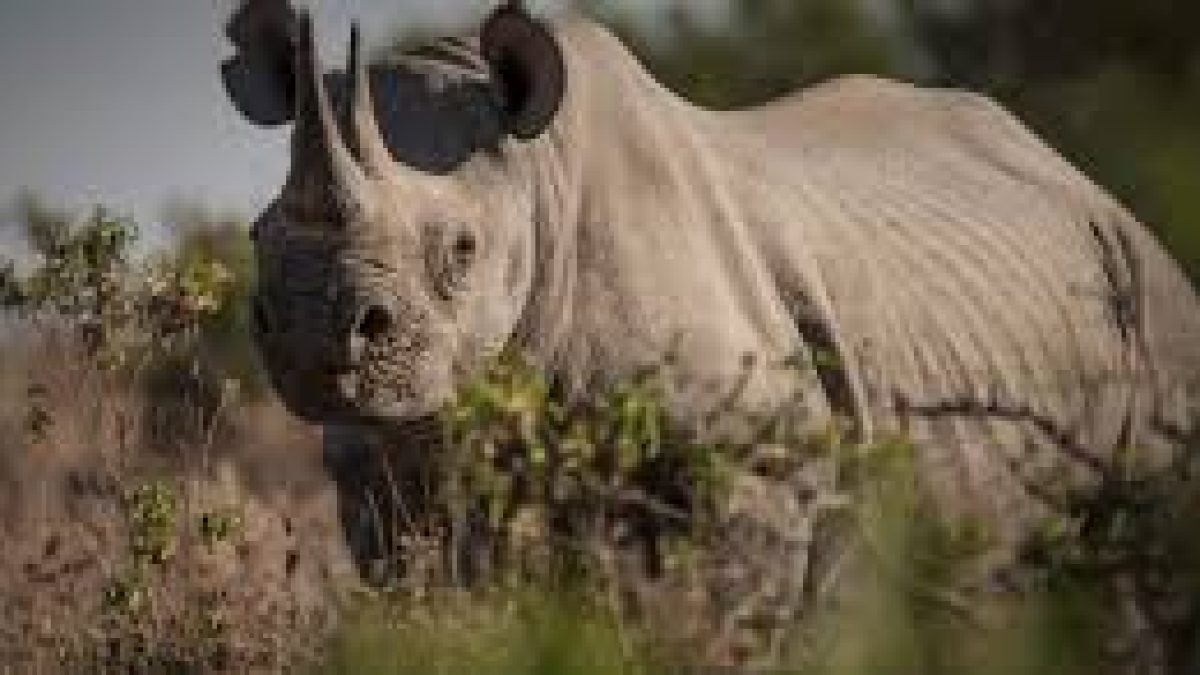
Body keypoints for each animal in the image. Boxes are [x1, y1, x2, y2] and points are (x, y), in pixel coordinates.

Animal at [222, 0, 1199, 625]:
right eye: (258, 233)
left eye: (461, 250)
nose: (315, 335)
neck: (540, 182)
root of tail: (1085, 180)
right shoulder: (387, 476)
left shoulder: (758, 464)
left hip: (1154, 301)